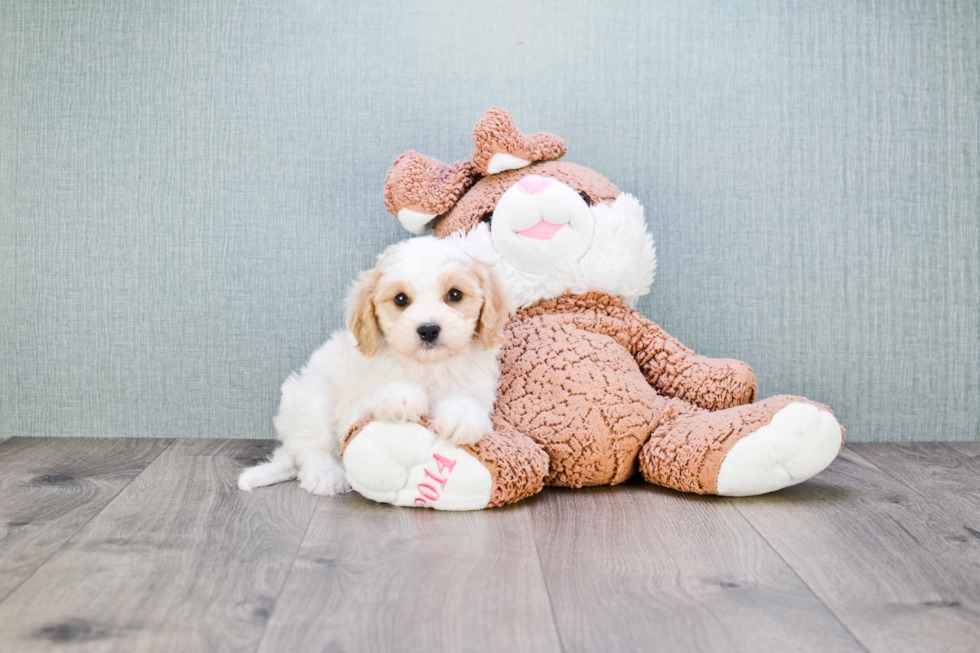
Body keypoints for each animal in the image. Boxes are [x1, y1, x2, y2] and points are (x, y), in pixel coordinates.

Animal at [240, 237, 510, 496]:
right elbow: (376, 400)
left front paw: (461, 416)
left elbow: (472, 405)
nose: (428, 329)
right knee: (311, 447)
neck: (427, 367)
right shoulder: (355, 408)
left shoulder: (479, 390)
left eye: (455, 295)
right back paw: (325, 475)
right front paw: (401, 397)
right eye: (400, 299)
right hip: (313, 396)